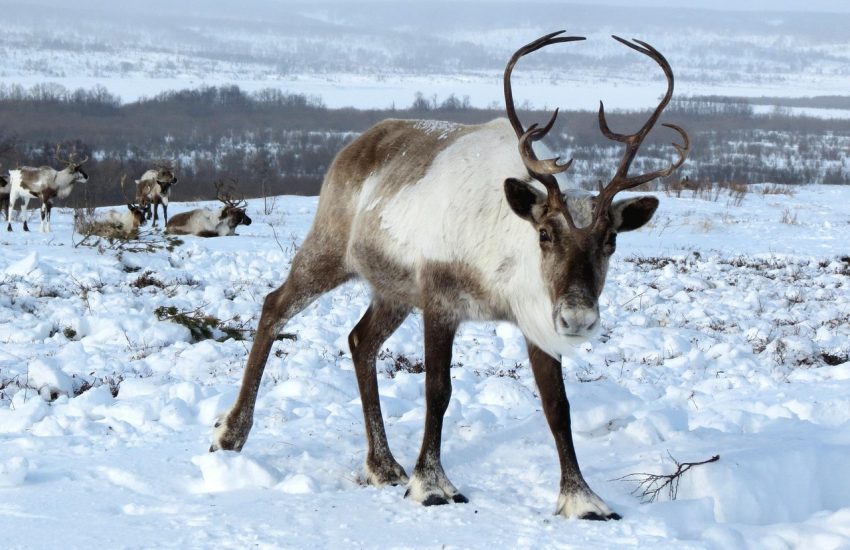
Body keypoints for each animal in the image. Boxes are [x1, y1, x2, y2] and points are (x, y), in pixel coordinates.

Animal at [210, 32, 689, 521]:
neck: (501, 269)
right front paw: (432, 484)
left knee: (360, 340)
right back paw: (231, 433)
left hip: (394, 291)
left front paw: (582, 498)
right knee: (275, 305)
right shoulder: (440, 302)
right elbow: (437, 390)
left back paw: (382, 464)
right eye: (545, 233)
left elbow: (558, 405)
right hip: (329, 249)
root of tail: (357, 143)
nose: (578, 318)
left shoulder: (534, 319)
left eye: (611, 239)